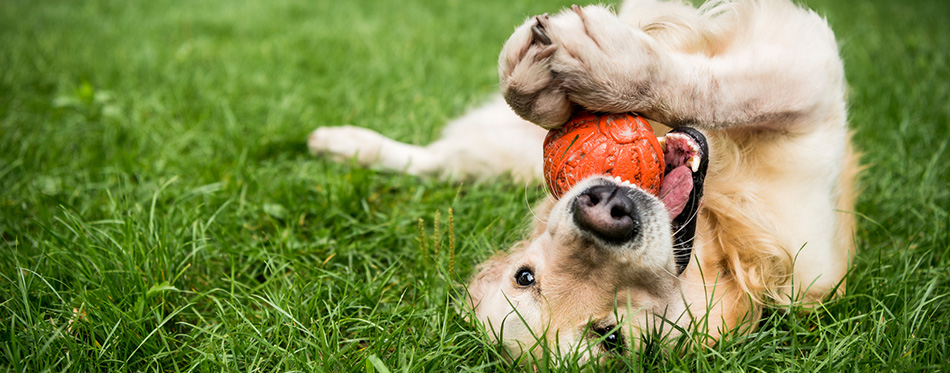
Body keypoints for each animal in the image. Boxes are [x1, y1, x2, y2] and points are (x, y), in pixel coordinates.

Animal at [308, 0, 860, 362]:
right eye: (610, 337)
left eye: (524, 276)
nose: (604, 209)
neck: (718, 236)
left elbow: (715, 85)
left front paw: (596, 67)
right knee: (441, 159)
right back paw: (344, 144)